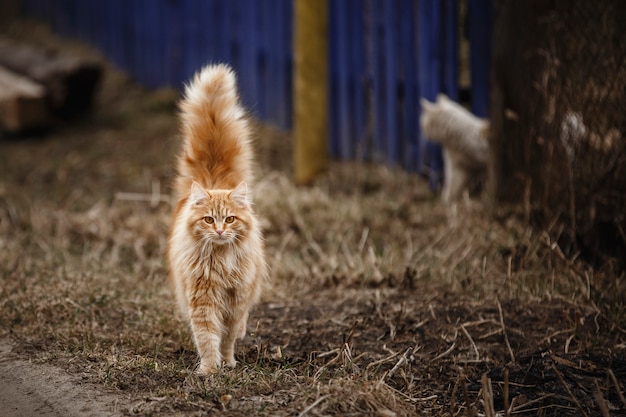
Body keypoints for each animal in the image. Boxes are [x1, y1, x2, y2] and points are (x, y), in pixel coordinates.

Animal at [166, 65, 266, 374]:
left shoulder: (236, 301)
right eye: (209, 220)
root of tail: (213, 180)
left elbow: (228, 336)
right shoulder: (203, 301)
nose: (221, 231)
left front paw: (228, 362)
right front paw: (210, 370)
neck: (221, 262)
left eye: (230, 219)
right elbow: (208, 336)